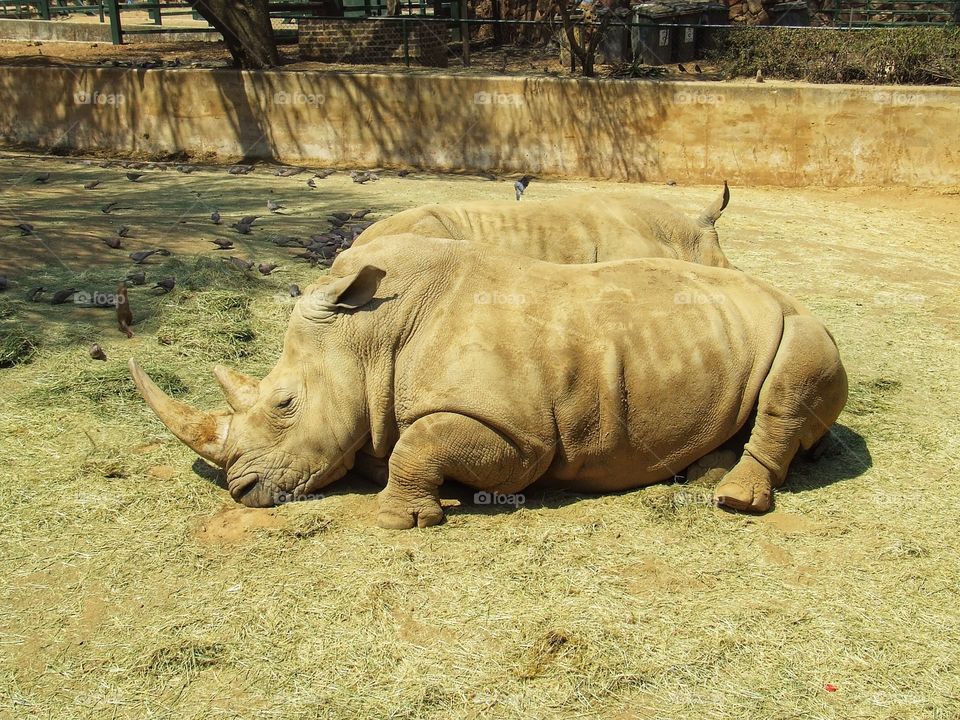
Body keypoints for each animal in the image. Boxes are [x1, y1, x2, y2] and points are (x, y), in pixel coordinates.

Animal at [129, 235, 847, 528]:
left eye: (285, 404)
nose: (240, 490)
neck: (370, 335)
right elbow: (393, 442)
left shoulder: (520, 437)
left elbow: (419, 444)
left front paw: (402, 520)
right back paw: (700, 475)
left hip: (802, 324)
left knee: (791, 381)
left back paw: (734, 500)